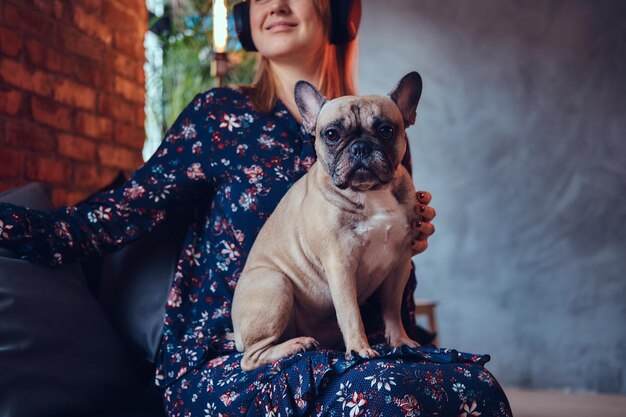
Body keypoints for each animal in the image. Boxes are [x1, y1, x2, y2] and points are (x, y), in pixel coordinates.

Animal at [232, 70, 422, 370]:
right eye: (331, 134)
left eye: (386, 130)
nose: (360, 147)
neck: (369, 192)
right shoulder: (340, 265)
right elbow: (351, 313)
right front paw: (360, 349)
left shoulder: (399, 262)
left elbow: (392, 307)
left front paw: (400, 340)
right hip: (275, 282)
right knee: (251, 358)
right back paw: (295, 345)